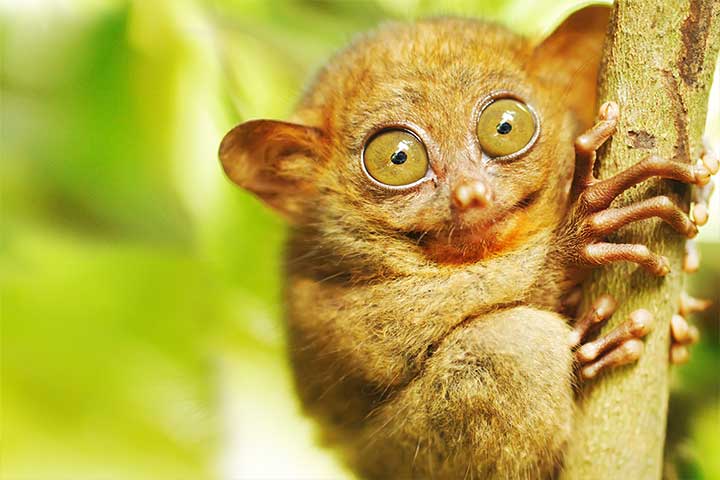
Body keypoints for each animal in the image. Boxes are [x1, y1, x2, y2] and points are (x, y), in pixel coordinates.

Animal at [218, 5, 718, 479]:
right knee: (507, 346)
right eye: (397, 158)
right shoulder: (322, 294)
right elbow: (384, 335)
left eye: (504, 127)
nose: (471, 194)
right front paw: (577, 237)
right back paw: (588, 349)